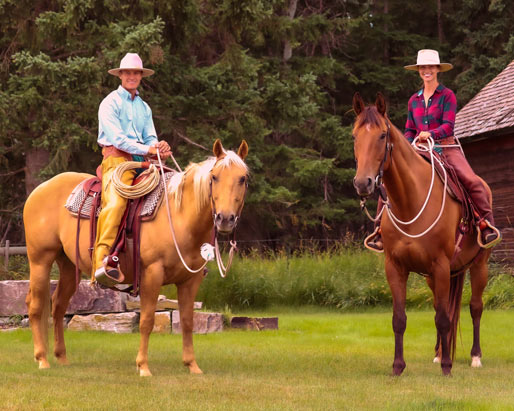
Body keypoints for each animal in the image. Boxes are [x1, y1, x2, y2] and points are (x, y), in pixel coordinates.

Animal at [24, 141, 248, 376]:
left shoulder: (190, 279)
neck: (180, 217)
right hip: (40, 260)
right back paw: (42, 359)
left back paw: (62, 357)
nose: (225, 219)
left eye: (243, 178)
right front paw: (143, 367)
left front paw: (192, 365)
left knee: (58, 304)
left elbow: (187, 321)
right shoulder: (152, 273)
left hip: (67, 264)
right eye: (214, 177)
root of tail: (40, 189)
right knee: (36, 305)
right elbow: (147, 320)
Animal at [350, 93, 490, 376]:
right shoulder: (395, 267)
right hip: (434, 277)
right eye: (354, 135)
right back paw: (438, 354)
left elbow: (444, 317)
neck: (410, 202)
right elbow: (400, 318)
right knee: (443, 305)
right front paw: (398, 367)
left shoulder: (441, 265)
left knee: (475, 307)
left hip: (479, 264)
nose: (362, 183)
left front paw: (447, 368)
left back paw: (475, 357)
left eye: (382, 135)